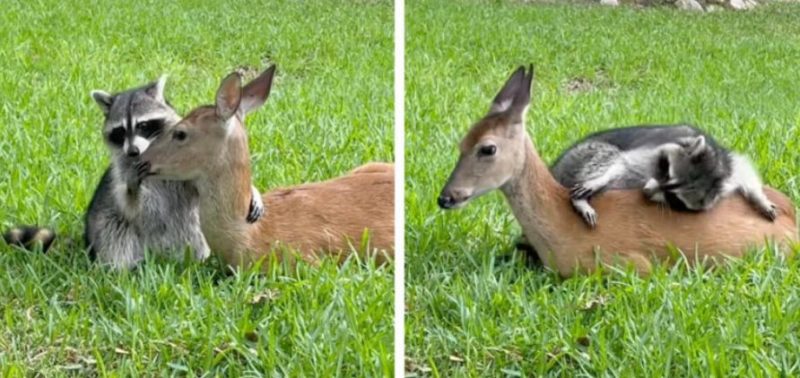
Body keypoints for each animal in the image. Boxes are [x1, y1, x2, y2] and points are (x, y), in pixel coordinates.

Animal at [86, 77, 264, 268]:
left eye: (143, 125)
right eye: (120, 131)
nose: (132, 151)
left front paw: (254, 191)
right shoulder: (122, 174)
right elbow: (133, 207)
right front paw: (133, 189)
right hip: (107, 226)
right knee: (114, 232)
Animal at [552, 125, 776, 229]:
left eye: (674, 199)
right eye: (666, 171)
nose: (646, 191)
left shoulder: (728, 167)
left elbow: (744, 171)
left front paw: (759, 197)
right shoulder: (652, 151)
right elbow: (623, 163)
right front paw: (601, 179)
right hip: (580, 155)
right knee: (608, 155)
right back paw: (581, 199)